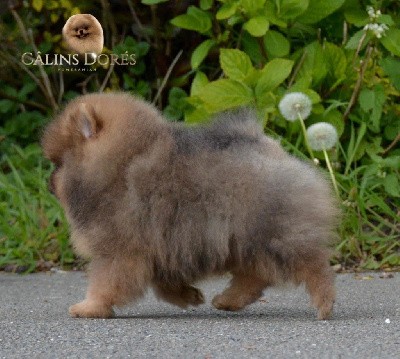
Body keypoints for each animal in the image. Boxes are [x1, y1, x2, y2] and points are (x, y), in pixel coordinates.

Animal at [42, 93, 340, 320]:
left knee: (313, 265)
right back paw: (228, 300)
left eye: (58, 164)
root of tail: (269, 147)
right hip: (247, 239)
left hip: (275, 231)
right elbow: (163, 285)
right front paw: (189, 296)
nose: (48, 182)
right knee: (255, 276)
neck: (120, 164)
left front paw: (89, 307)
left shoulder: (121, 249)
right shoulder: (160, 248)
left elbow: (106, 283)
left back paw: (324, 304)